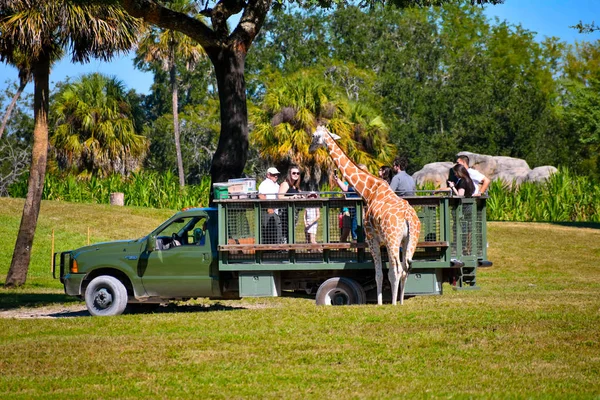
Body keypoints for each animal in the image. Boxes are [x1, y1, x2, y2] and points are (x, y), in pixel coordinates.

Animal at [310, 126, 422, 304]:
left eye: (314, 136)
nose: (310, 148)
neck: (368, 191)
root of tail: (408, 218)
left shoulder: (372, 237)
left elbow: (379, 274)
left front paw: (380, 303)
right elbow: (384, 272)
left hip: (392, 239)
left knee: (397, 269)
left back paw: (394, 304)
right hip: (410, 240)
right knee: (406, 268)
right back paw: (401, 302)